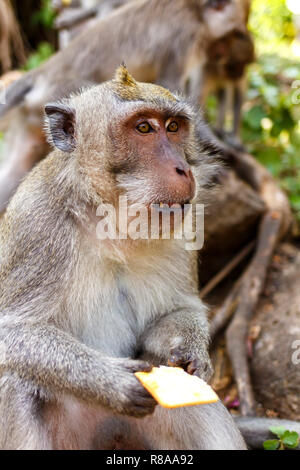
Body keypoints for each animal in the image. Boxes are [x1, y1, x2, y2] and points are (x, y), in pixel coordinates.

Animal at [0, 68, 245, 450]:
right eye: (143, 128)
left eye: (173, 127)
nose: (182, 169)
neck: (111, 218)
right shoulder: (35, 224)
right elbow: (11, 333)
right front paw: (111, 380)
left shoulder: (186, 226)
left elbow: (177, 310)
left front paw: (192, 354)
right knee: (17, 383)